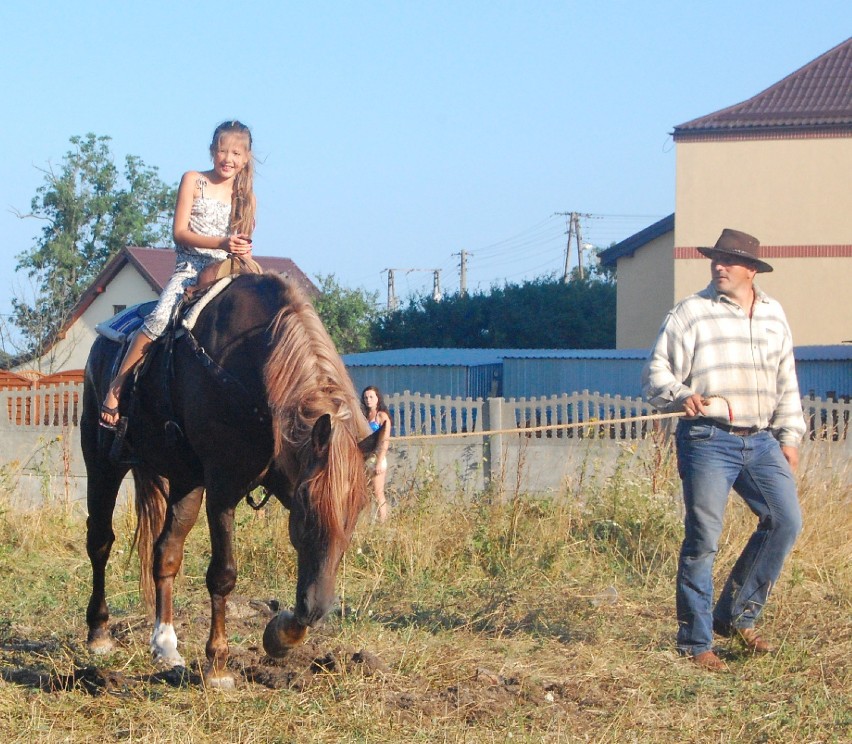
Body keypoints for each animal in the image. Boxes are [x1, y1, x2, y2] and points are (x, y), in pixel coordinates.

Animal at [80, 272, 380, 684]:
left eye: (355, 515)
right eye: (305, 511)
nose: (319, 609)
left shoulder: (282, 475)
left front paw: (281, 635)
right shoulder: (223, 489)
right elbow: (223, 574)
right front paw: (218, 663)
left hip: (185, 481)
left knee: (165, 553)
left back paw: (165, 644)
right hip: (102, 463)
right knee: (100, 542)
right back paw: (98, 632)